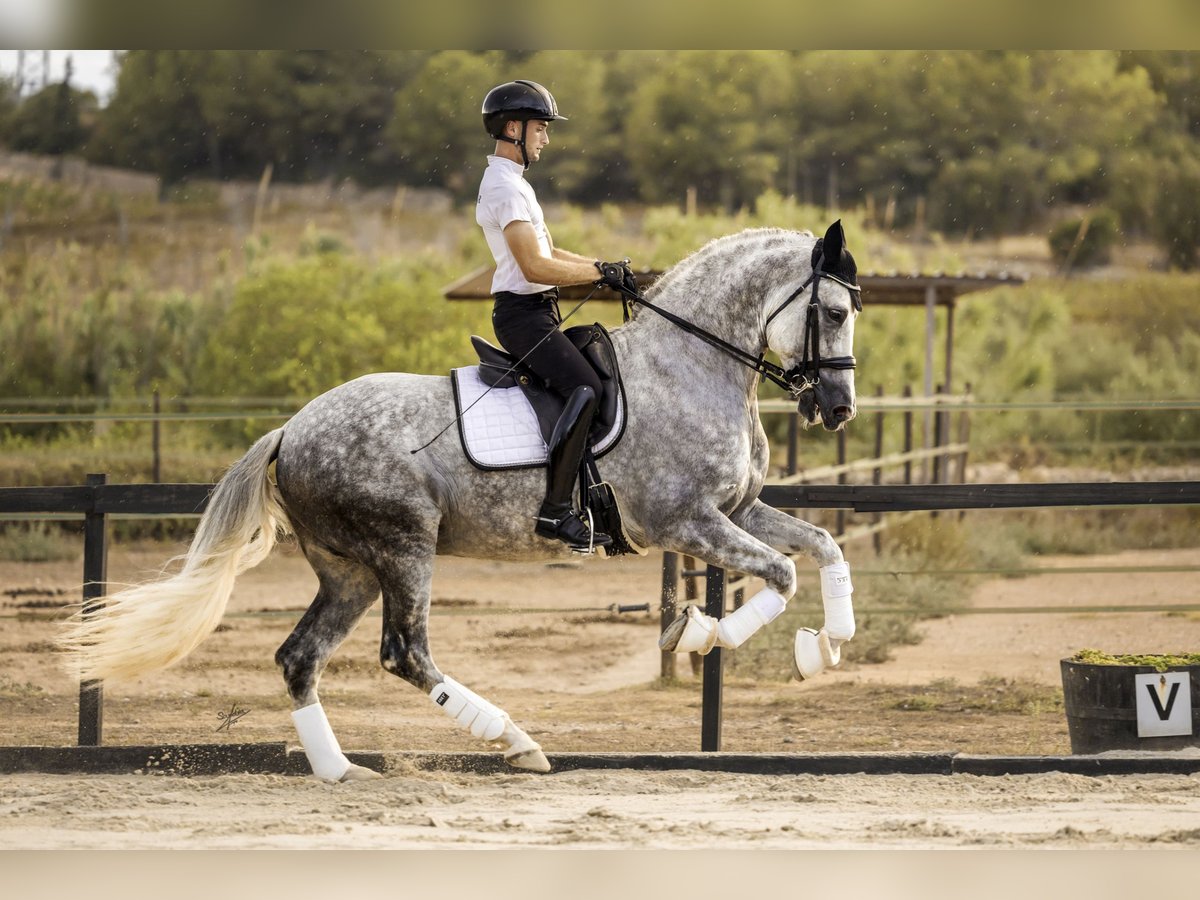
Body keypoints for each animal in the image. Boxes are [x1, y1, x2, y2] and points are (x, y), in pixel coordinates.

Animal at [60, 224, 864, 782]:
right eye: (831, 312)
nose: (838, 408)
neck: (691, 365)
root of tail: (290, 431)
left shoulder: (739, 509)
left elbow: (823, 547)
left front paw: (825, 644)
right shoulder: (684, 520)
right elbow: (781, 575)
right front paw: (699, 635)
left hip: (349, 570)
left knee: (299, 657)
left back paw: (340, 771)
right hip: (404, 548)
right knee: (405, 653)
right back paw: (516, 742)